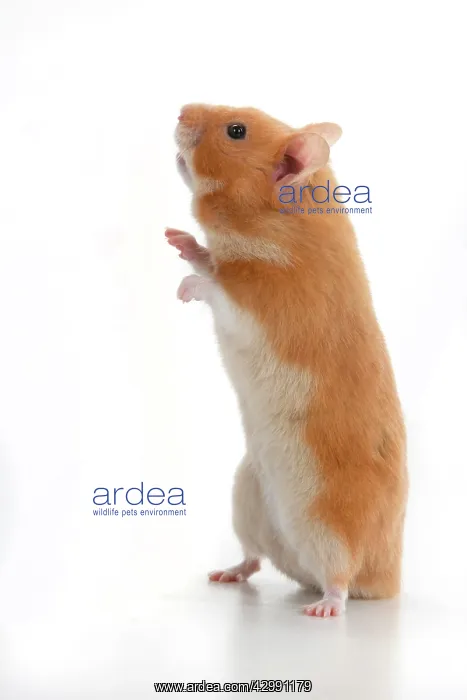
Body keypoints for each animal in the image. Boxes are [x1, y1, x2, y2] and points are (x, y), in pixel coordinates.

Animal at [166, 104, 408, 617]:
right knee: (255, 559)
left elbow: (216, 289)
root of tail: (388, 582)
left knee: (340, 577)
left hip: (331, 529)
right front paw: (177, 239)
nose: (180, 110)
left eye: (236, 131)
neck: (281, 223)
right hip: (246, 497)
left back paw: (323, 608)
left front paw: (184, 289)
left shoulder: (262, 306)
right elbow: (205, 259)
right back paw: (225, 574)